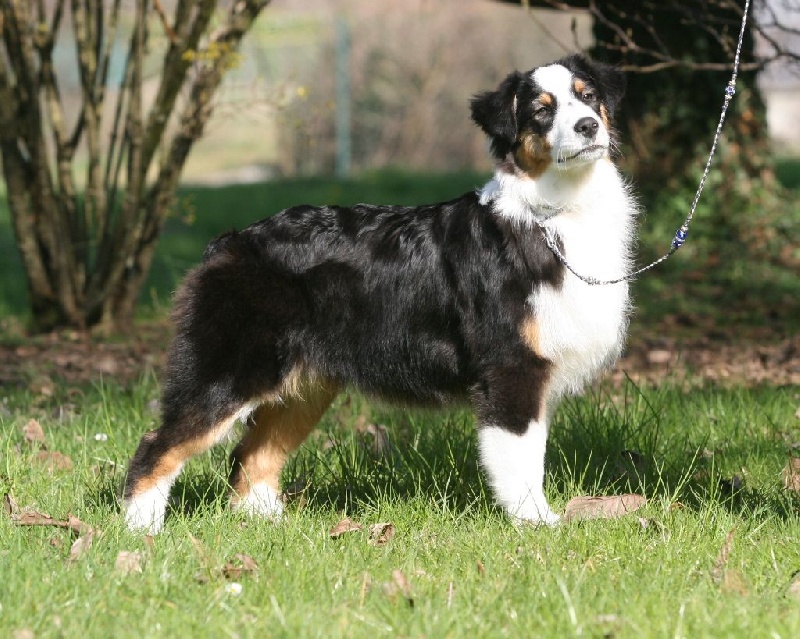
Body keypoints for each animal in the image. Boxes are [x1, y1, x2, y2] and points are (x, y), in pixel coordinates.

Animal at [125, 53, 636, 536]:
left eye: (588, 97)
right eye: (541, 111)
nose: (589, 126)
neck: (554, 213)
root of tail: (228, 243)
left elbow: (532, 452)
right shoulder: (511, 367)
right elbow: (520, 459)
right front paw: (536, 524)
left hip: (304, 386)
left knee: (252, 456)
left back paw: (274, 529)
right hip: (230, 371)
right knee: (157, 447)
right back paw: (140, 530)